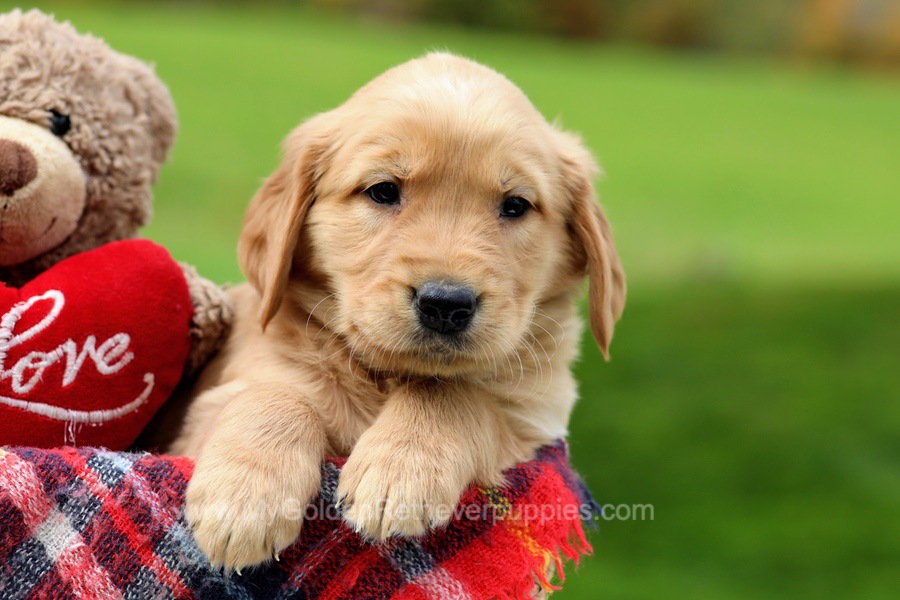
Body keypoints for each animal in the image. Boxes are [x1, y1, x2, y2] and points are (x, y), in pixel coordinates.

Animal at [169, 52, 624, 572]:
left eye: (515, 205)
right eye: (383, 191)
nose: (445, 303)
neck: (384, 377)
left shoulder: (535, 416)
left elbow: (453, 393)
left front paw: (401, 467)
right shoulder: (202, 413)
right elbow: (274, 394)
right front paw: (244, 499)